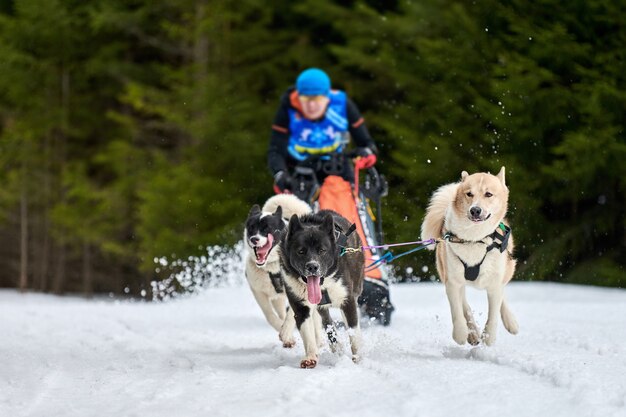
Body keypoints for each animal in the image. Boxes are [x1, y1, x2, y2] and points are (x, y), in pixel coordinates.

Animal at [245, 193, 310, 346]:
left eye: (267, 228)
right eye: (251, 227)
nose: (254, 239)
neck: (272, 266)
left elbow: (291, 315)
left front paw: (285, 332)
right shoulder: (258, 292)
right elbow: (270, 315)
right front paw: (284, 332)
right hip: (278, 299)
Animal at [420, 166, 516, 344]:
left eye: (488, 194)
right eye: (469, 194)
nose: (475, 210)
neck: (475, 239)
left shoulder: (494, 283)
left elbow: (494, 313)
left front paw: (489, 337)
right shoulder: (452, 282)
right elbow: (457, 311)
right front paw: (460, 334)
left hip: (507, 270)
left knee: (502, 296)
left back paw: (510, 322)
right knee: (465, 306)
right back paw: (472, 333)